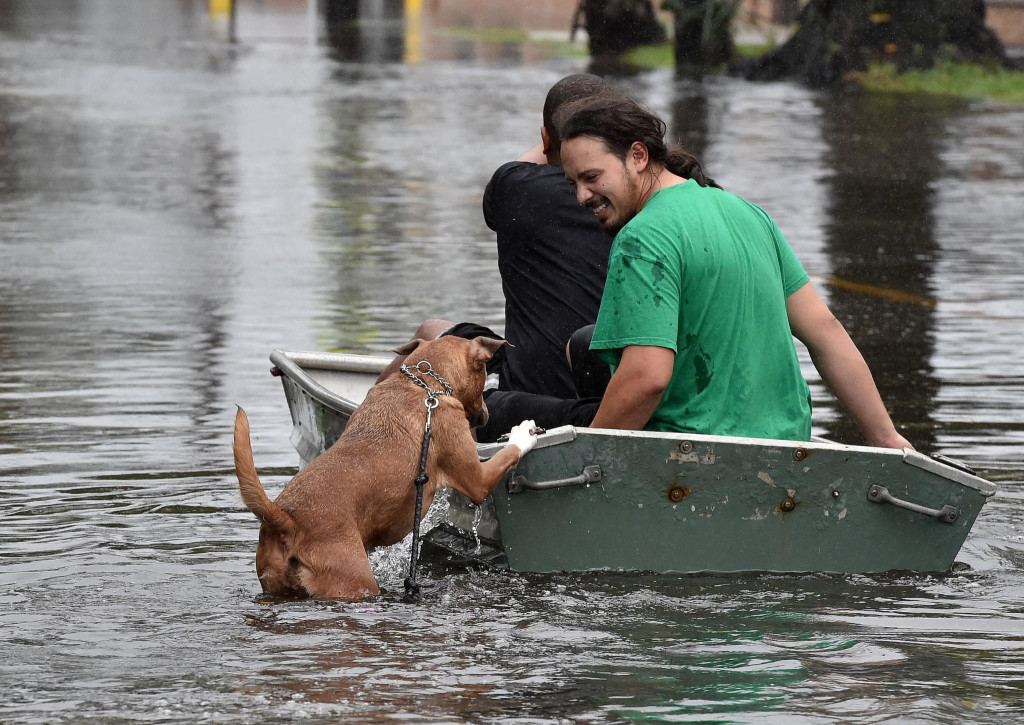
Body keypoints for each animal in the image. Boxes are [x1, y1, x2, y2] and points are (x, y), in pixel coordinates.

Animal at [232, 333, 536, 602]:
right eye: (484, 371)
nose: (485, 416)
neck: (424, 385)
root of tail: (285, 518)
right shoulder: (477, 480)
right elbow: (509, 452)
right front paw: (523, 433)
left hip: (274, 586)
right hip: (354, 582)